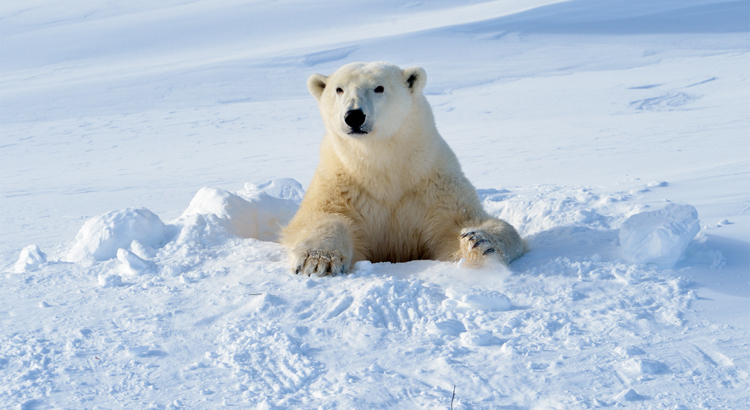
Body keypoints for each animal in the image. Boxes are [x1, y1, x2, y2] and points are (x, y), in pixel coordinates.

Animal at [280, 62, 524, 276]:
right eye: (339, 89)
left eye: (379, 87)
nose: (354, 115)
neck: (382, 167)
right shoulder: (341, 182)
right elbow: (322, 216)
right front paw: (317, 260)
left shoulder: (433, 184)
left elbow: (458, 224)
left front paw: (480, 240)